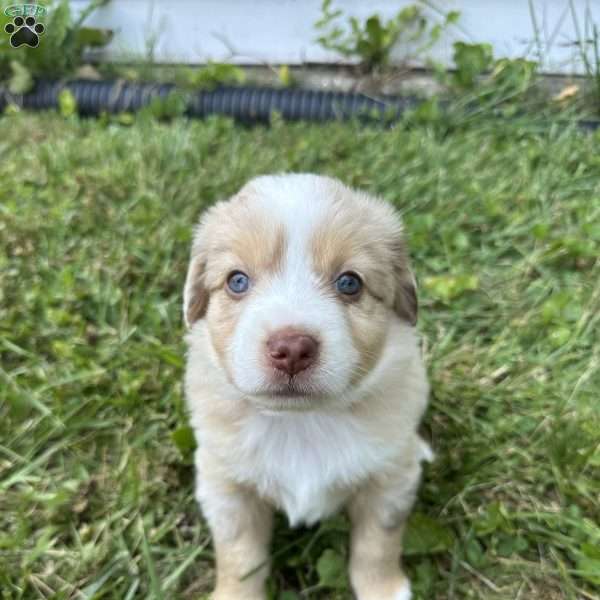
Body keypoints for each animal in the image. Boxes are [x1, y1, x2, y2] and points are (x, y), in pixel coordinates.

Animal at [183, 173, 432, 600]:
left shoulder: (388, 483)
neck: (301, 422)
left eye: (349, 283)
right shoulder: (226, 487)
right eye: (237, 281)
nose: (292, 349)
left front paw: (384, 590)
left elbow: (376, 547)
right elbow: (241, 559)